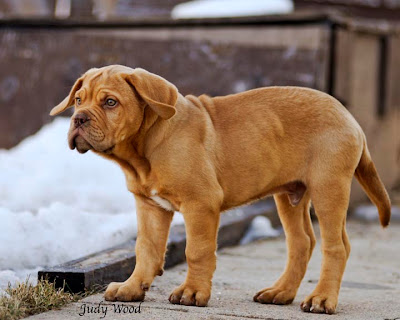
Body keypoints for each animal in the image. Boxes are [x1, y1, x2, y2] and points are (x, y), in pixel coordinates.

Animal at [50, 65, 390, 316]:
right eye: (78, 100)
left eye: (110, 102)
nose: (78, 119)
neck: (143, 151)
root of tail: (349, 116)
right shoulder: (150, 206)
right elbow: (146, 249)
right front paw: (131, 288)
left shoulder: (200, 204)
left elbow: (197, 251)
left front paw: (192, 292)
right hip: (290, 195)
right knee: (302, 242)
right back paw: (280, 292)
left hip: (328, 188)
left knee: (336, 247)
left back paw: (321, 299)